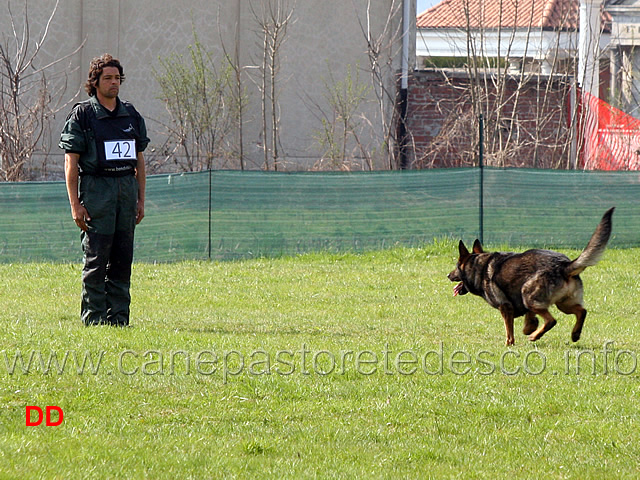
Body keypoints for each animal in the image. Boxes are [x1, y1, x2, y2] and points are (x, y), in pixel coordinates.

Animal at [448, 207, 612, 344]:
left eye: (456, 267)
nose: (448, 275)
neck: (479, 267)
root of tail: (564, 265)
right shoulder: (525, 308)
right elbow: (529, 320)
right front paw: (529, 328)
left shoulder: (505, 307)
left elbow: (509, 331)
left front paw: (509, 344)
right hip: (563, 304)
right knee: (582, 311)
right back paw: (575, 334)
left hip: (528, 294)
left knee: (552, 320)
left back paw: (535, 336)